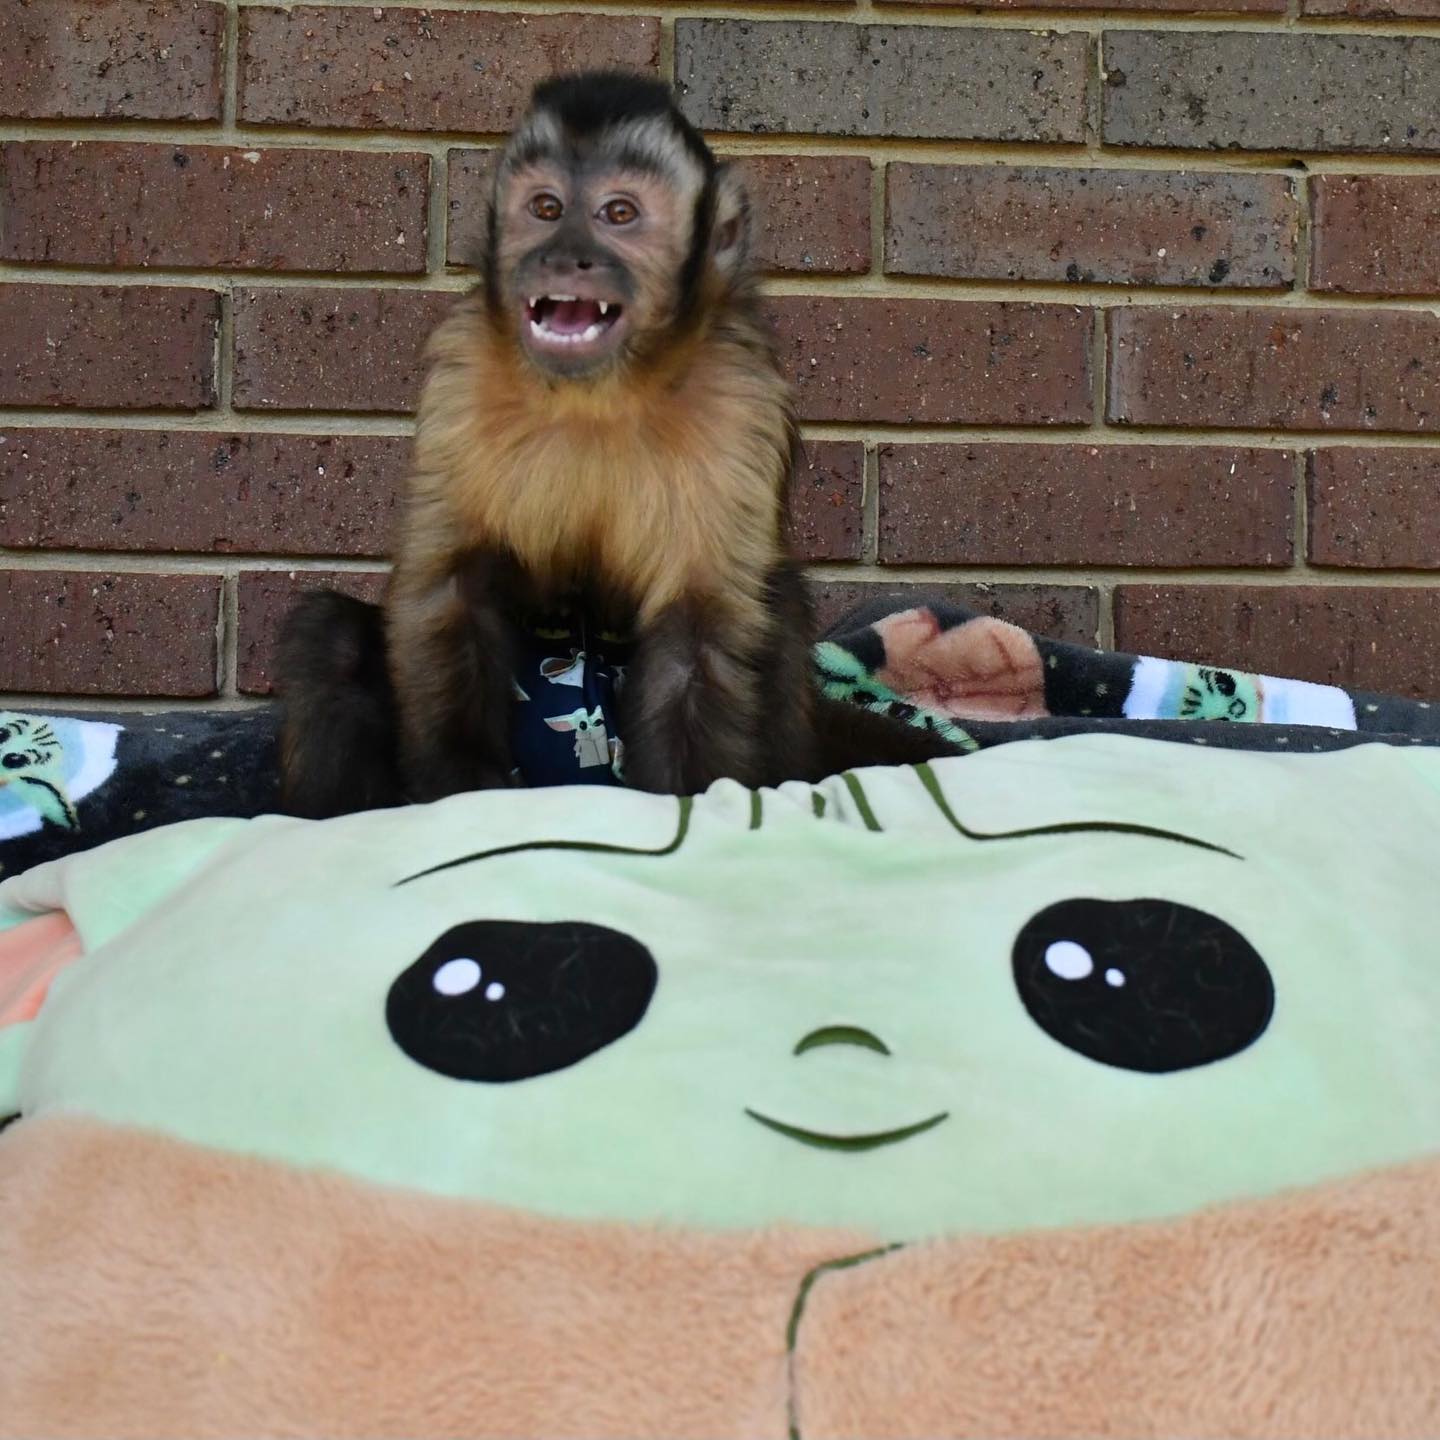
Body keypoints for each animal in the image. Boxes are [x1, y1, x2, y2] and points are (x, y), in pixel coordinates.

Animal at [276, 71, 961, 820]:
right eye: (546, 208)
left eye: (619, 214)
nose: (564, 254)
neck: (601, 393)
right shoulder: (461, 372)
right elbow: (450, 585)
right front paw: (460, 788)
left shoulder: (740, 397)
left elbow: (700, 625)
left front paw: (694, 807)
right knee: (330, 639)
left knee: (776, 607)